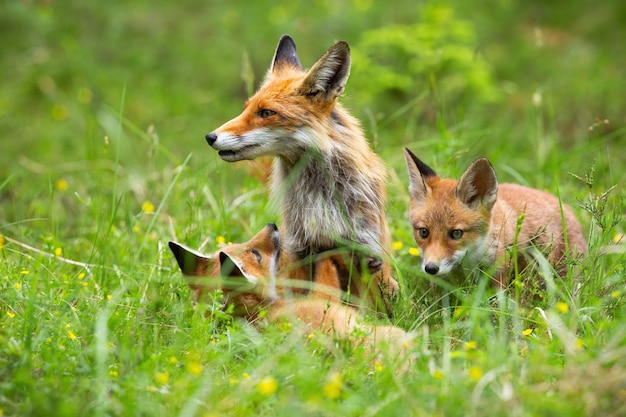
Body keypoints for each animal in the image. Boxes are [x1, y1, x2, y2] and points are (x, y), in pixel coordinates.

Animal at [168, 223, 410, 356]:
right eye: (256, 254)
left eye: (242, 245)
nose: (272, 225)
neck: (258, 315)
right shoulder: (324, 298)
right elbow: (326, 264)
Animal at [207, 34, 398, 312]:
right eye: (245, 108)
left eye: (266, 113)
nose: (210, 137)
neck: (320, 200)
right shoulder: (300, 249)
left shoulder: (366, 251)